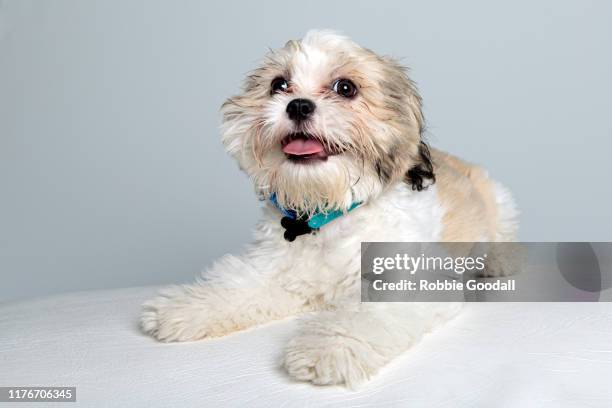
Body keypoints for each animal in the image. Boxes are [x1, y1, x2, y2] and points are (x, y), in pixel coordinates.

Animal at [141, 30, 520, 388]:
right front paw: (185, 306)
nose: (298, 105)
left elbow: (363, 316)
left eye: (345, 87)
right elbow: (235, 285)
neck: (327, 215)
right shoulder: (274, 271)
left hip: (498, 201)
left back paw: (497, 263)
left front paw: (327, 347)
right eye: (278, 84)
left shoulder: (405, 281)